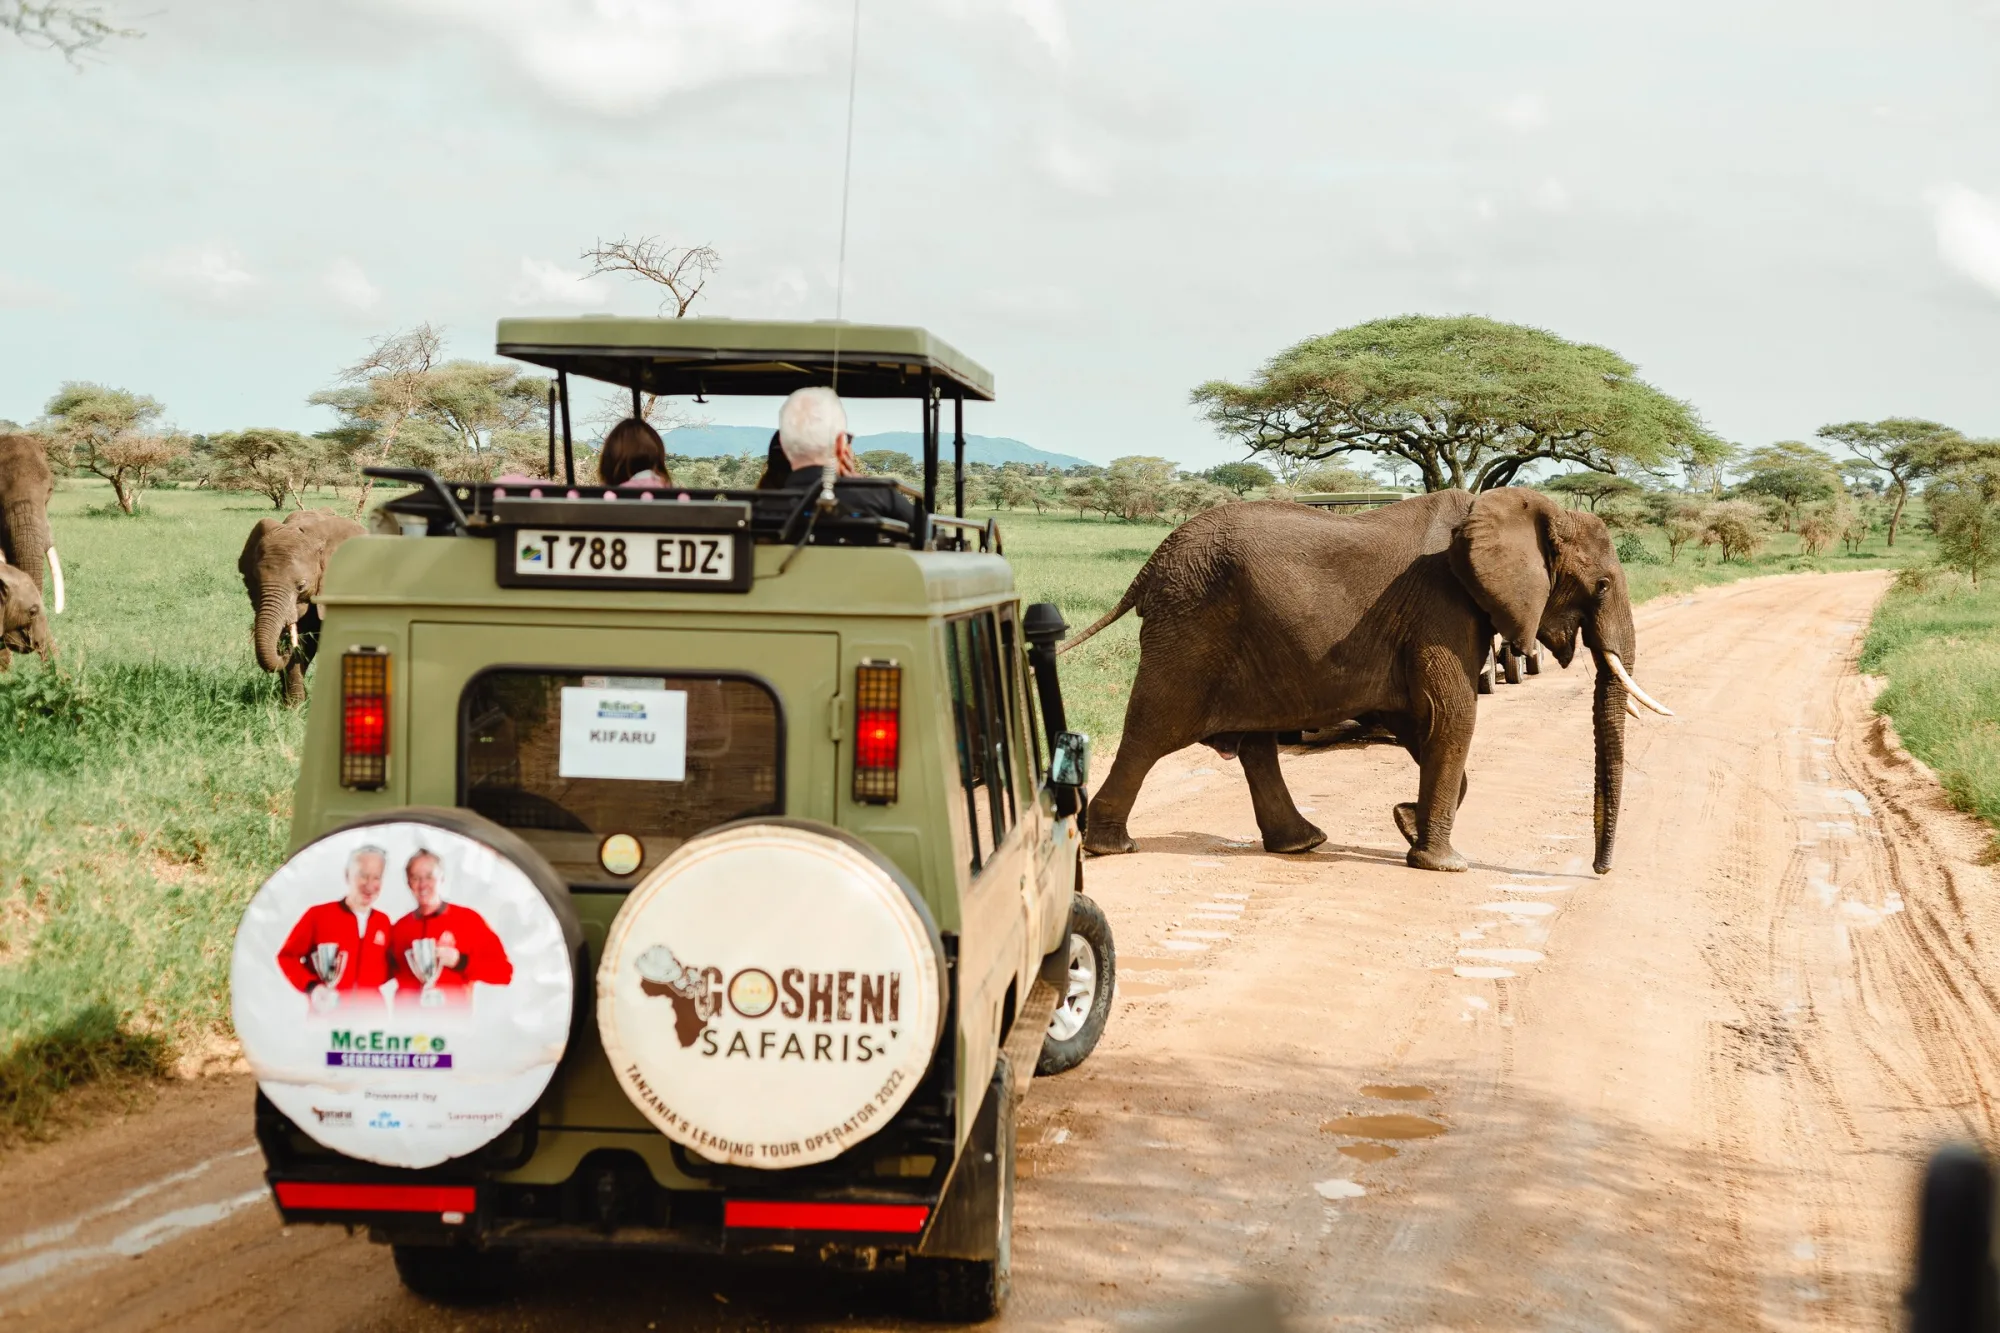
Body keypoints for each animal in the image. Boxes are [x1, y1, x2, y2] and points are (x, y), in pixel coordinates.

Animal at [1061, 488, 1672, 874]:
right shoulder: (1441, 607)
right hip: (1191, 627)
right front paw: (1444, 864)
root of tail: (1150, 564)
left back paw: (1301, 844)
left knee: (1255, 742)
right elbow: (1451, 715)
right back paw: (1112, 847)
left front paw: (1406, 823)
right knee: (1151, 730)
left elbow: (1421, 724)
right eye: (1601, 586)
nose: (1599, 871)